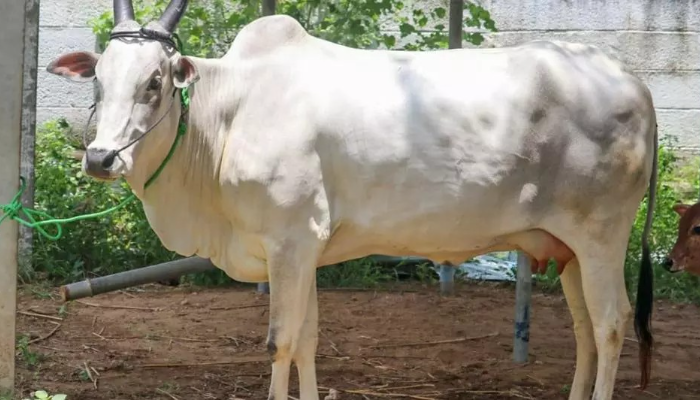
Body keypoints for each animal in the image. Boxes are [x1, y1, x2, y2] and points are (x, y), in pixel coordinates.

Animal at [46, 0, 659, 399]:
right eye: (98, 79)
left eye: (155, 81)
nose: (100, 158)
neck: (228, 114)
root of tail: (633, 81)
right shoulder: (305, 250)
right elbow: (308, 341)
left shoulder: (290, 243)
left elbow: (280, 343)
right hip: (567, 249)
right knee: (584, 331)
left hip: (601, 237)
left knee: (610, 325)